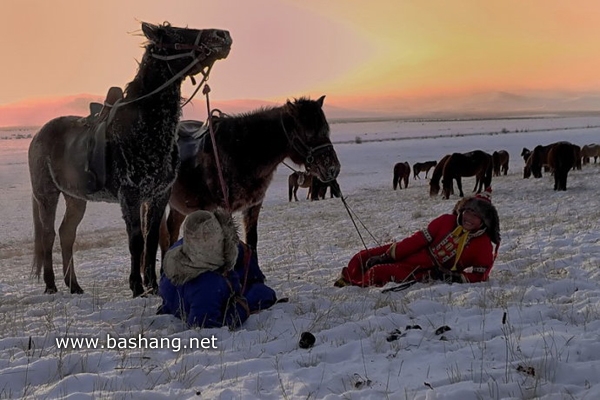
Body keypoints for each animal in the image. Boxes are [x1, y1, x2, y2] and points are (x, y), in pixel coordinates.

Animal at [27, 22, 232, 296]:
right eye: (176, 34)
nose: (222, 35)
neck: (144, 131)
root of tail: (39, 134)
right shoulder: (130, 197)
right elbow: (136, 241)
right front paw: (136, 286)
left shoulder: (158, 195)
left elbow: (152, 239)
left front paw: (153, 286)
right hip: (47, 194)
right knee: (48, 235)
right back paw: (51, 286)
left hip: (75, 198)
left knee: (66, 233)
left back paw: (75, 286)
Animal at [162, 96, 340, 252]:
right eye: (308, 133)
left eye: (326, 130)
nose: (333, 168)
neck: (239, 151)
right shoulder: (217, 211)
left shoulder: (253, 207)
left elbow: (252, 242)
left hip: (178, 208)